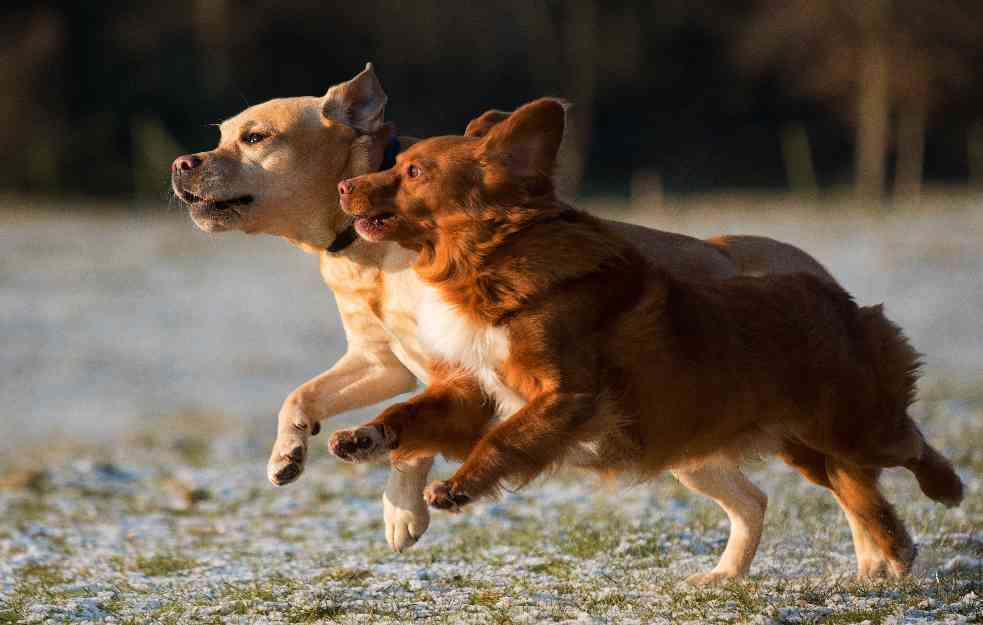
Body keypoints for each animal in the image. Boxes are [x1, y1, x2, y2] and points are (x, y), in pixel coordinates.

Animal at [334, 97, 964, 580]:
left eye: (413, 171)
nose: (342, 185)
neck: (488, 264)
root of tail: (833, 294)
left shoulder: (565, 395)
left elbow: (504, 441)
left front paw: (458, 485)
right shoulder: (477, 390)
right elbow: (412, 412)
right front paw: (364, 437)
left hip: (848, 425)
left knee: (907, 444)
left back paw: (946, 490)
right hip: (780, 446)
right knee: (822, 495)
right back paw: (848, 559)